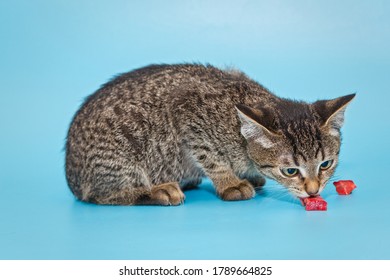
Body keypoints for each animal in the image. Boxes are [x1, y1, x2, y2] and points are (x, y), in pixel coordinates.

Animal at [65, 63, 354, 206]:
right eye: (291, 171)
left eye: (325, 164)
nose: (314, 191)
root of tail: (72, 177)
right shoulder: (186, 109)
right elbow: (210, 155)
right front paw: (229, 182)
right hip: (121, 153)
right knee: (99, 196)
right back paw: (157, 191)